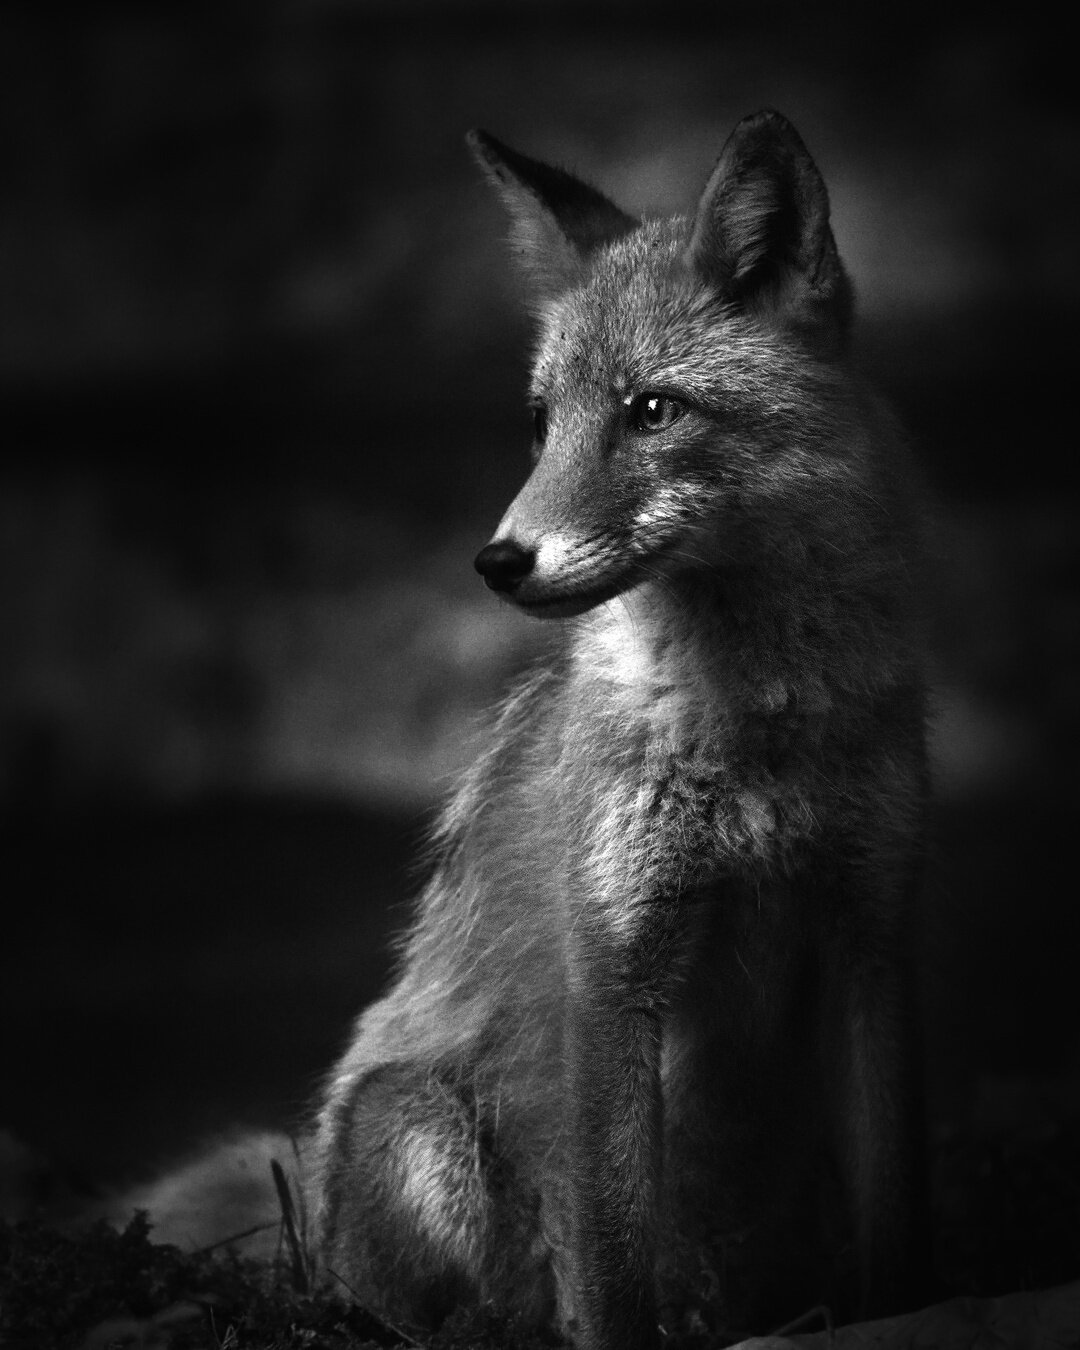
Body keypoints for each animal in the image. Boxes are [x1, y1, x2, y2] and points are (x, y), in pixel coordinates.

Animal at [311, 110, 930, 1349]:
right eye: (541, 424)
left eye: (652, 410)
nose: (499, 561)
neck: (755, 738)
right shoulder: (611, 969)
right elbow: (609, 1260)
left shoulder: (871, 942)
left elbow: (892, 1219)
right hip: (418, 1133)